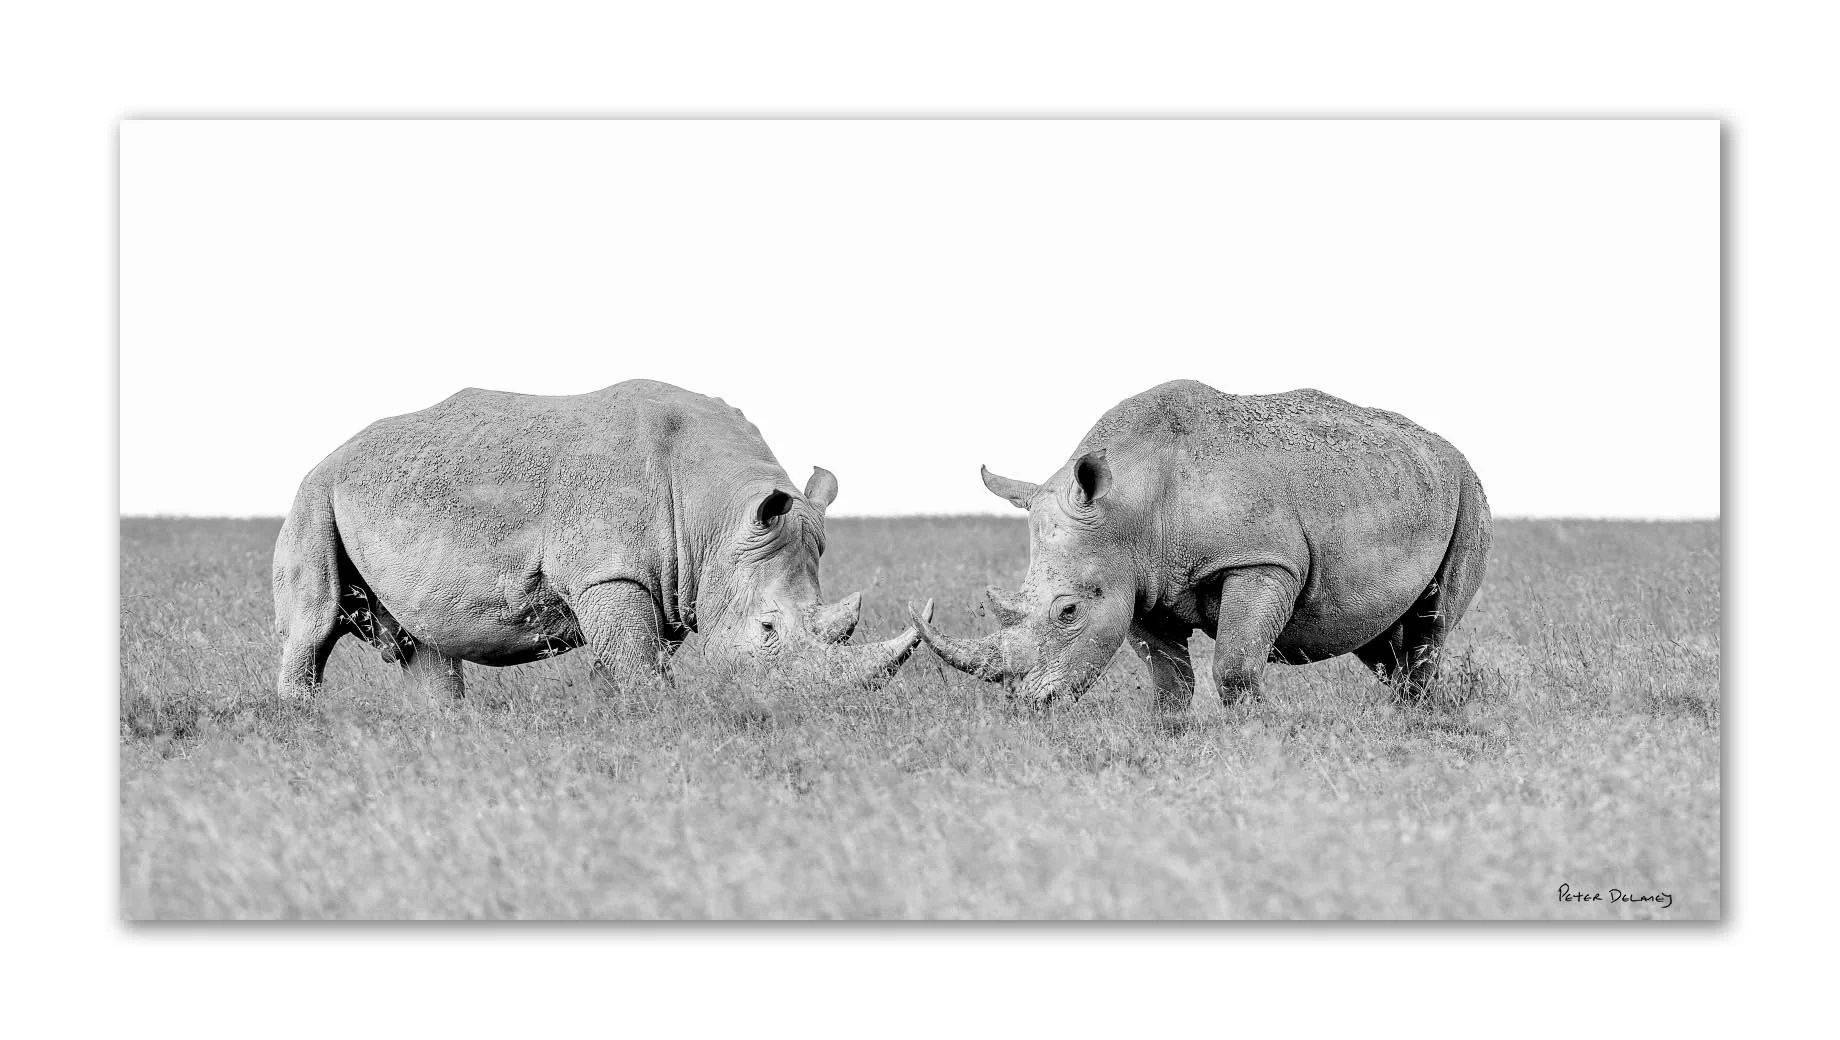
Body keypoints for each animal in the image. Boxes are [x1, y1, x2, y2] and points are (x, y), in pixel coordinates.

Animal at [273, 379, 927, 700]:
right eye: (767, 630)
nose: (811, 707)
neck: (716, 513)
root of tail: (332, 454)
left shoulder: (660, 576)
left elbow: (631, 661)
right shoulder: (609, 571)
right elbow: (640, 669)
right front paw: (660, 725)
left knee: (427, 649)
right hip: (314, 496)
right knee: (313, 625)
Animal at [912, 379, 1491, 711]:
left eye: (1069, 611)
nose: (1027, 703)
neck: (1131, 500)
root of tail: (1448, 450)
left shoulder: (1261, 561)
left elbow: (1234, 668)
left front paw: (1255, 744)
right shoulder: (1137, 582)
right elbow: (1170, 682)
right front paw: (1167, 739)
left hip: (1468, 494)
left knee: (1430, 623)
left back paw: (1417, 722)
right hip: (1402, 484)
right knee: (1377, 640)